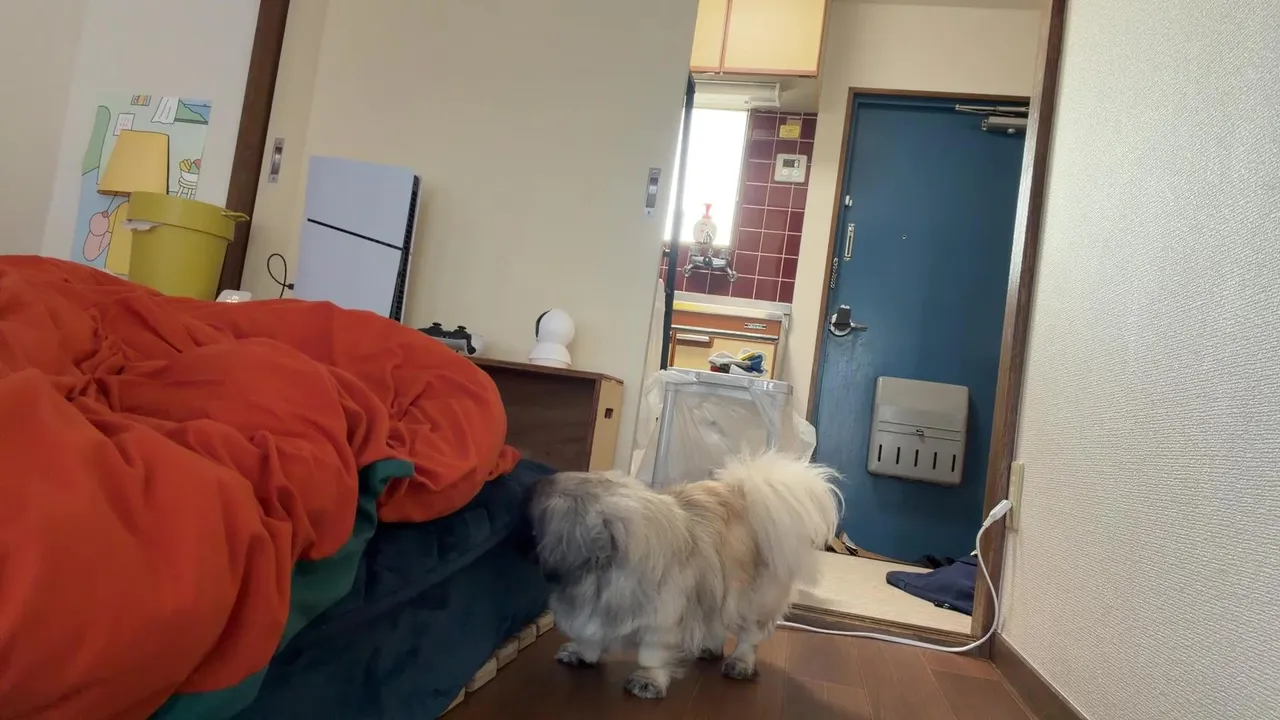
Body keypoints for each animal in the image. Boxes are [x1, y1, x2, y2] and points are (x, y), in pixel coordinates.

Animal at [527, 452, 841, 699]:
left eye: (538, 517)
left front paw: (647, 681)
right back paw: (709, 649)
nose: (532, 486)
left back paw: (740, 663)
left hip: (753, 601)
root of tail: (747, 497)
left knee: (749, 637)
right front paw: (581, 654)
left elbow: (651, 654)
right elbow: (590, 637)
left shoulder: (663, 620)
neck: (602, 571)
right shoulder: (595, 613)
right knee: (716, 624)